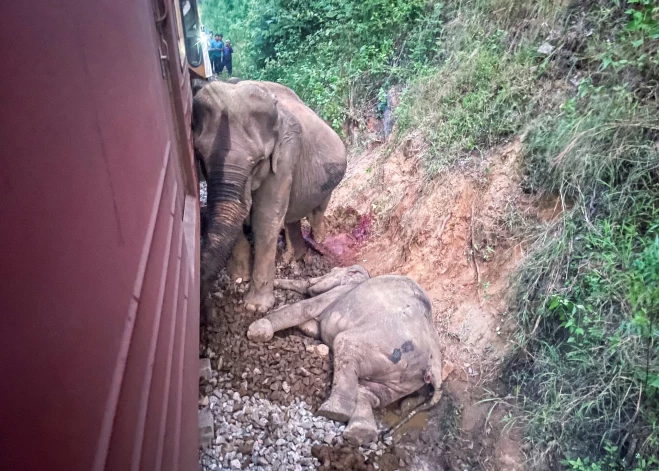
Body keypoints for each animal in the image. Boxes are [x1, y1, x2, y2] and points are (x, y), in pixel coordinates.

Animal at [193, 80, 348, 318]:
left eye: (258, 162)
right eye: (200, 157)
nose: (207, 313)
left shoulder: (286, 153)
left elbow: (266, 219)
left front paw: (255, 307)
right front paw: (239, 276)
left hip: (329, 180)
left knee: (316, 211)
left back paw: (318, 242)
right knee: (292, 217)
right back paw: (294, 257)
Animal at [248, 266, 444, 446]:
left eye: (332, 271)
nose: (274, 282)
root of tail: (435, 367)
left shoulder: (338, 294)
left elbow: (306, 308)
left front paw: (257, 331)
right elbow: (312, 327)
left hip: (385, 349)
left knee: (345, 345)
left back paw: (333, 412)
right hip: (402, 381)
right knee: (369, 394)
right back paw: (359, 433)